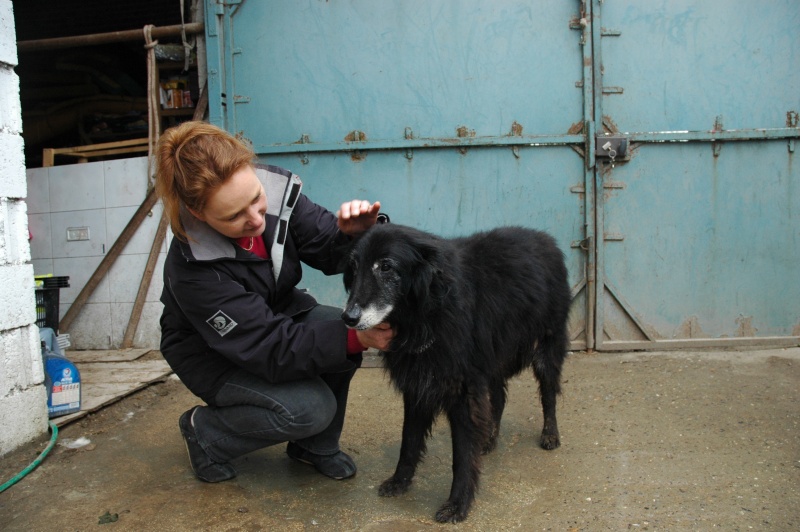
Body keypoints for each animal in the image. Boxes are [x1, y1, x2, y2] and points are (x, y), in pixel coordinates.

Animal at [340, 222, 572, 520]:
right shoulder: (419, 386)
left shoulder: (463, 392)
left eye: (386, 267)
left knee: (548, 394)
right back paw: (489, 438)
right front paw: (400, 481)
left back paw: (550, 434)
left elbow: (461, 456)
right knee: (499, 397)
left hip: (545, 348)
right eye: (354, 267)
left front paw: (457, 504)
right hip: (490, 360)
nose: (347, 318)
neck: (428, 313)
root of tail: (545, 238)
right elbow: (409, 441)